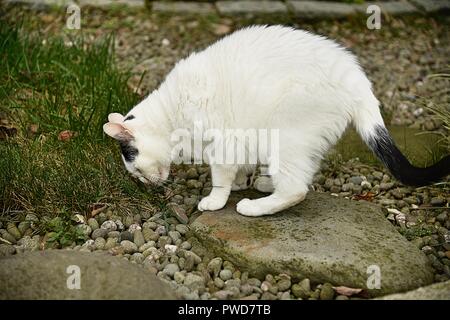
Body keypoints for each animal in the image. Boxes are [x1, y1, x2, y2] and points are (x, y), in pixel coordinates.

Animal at [103, 25, 450, 218]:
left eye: (135, 169)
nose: (144, 184)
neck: (171, 112)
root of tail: (357, 79)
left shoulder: (223, 142)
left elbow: (221, 177)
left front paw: (215, 200)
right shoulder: (239, 140)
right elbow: (240, 167)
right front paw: (242, 181)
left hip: (286, 134)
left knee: (297, 189)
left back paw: (255, 207)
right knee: (301, 175)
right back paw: (265, 183)